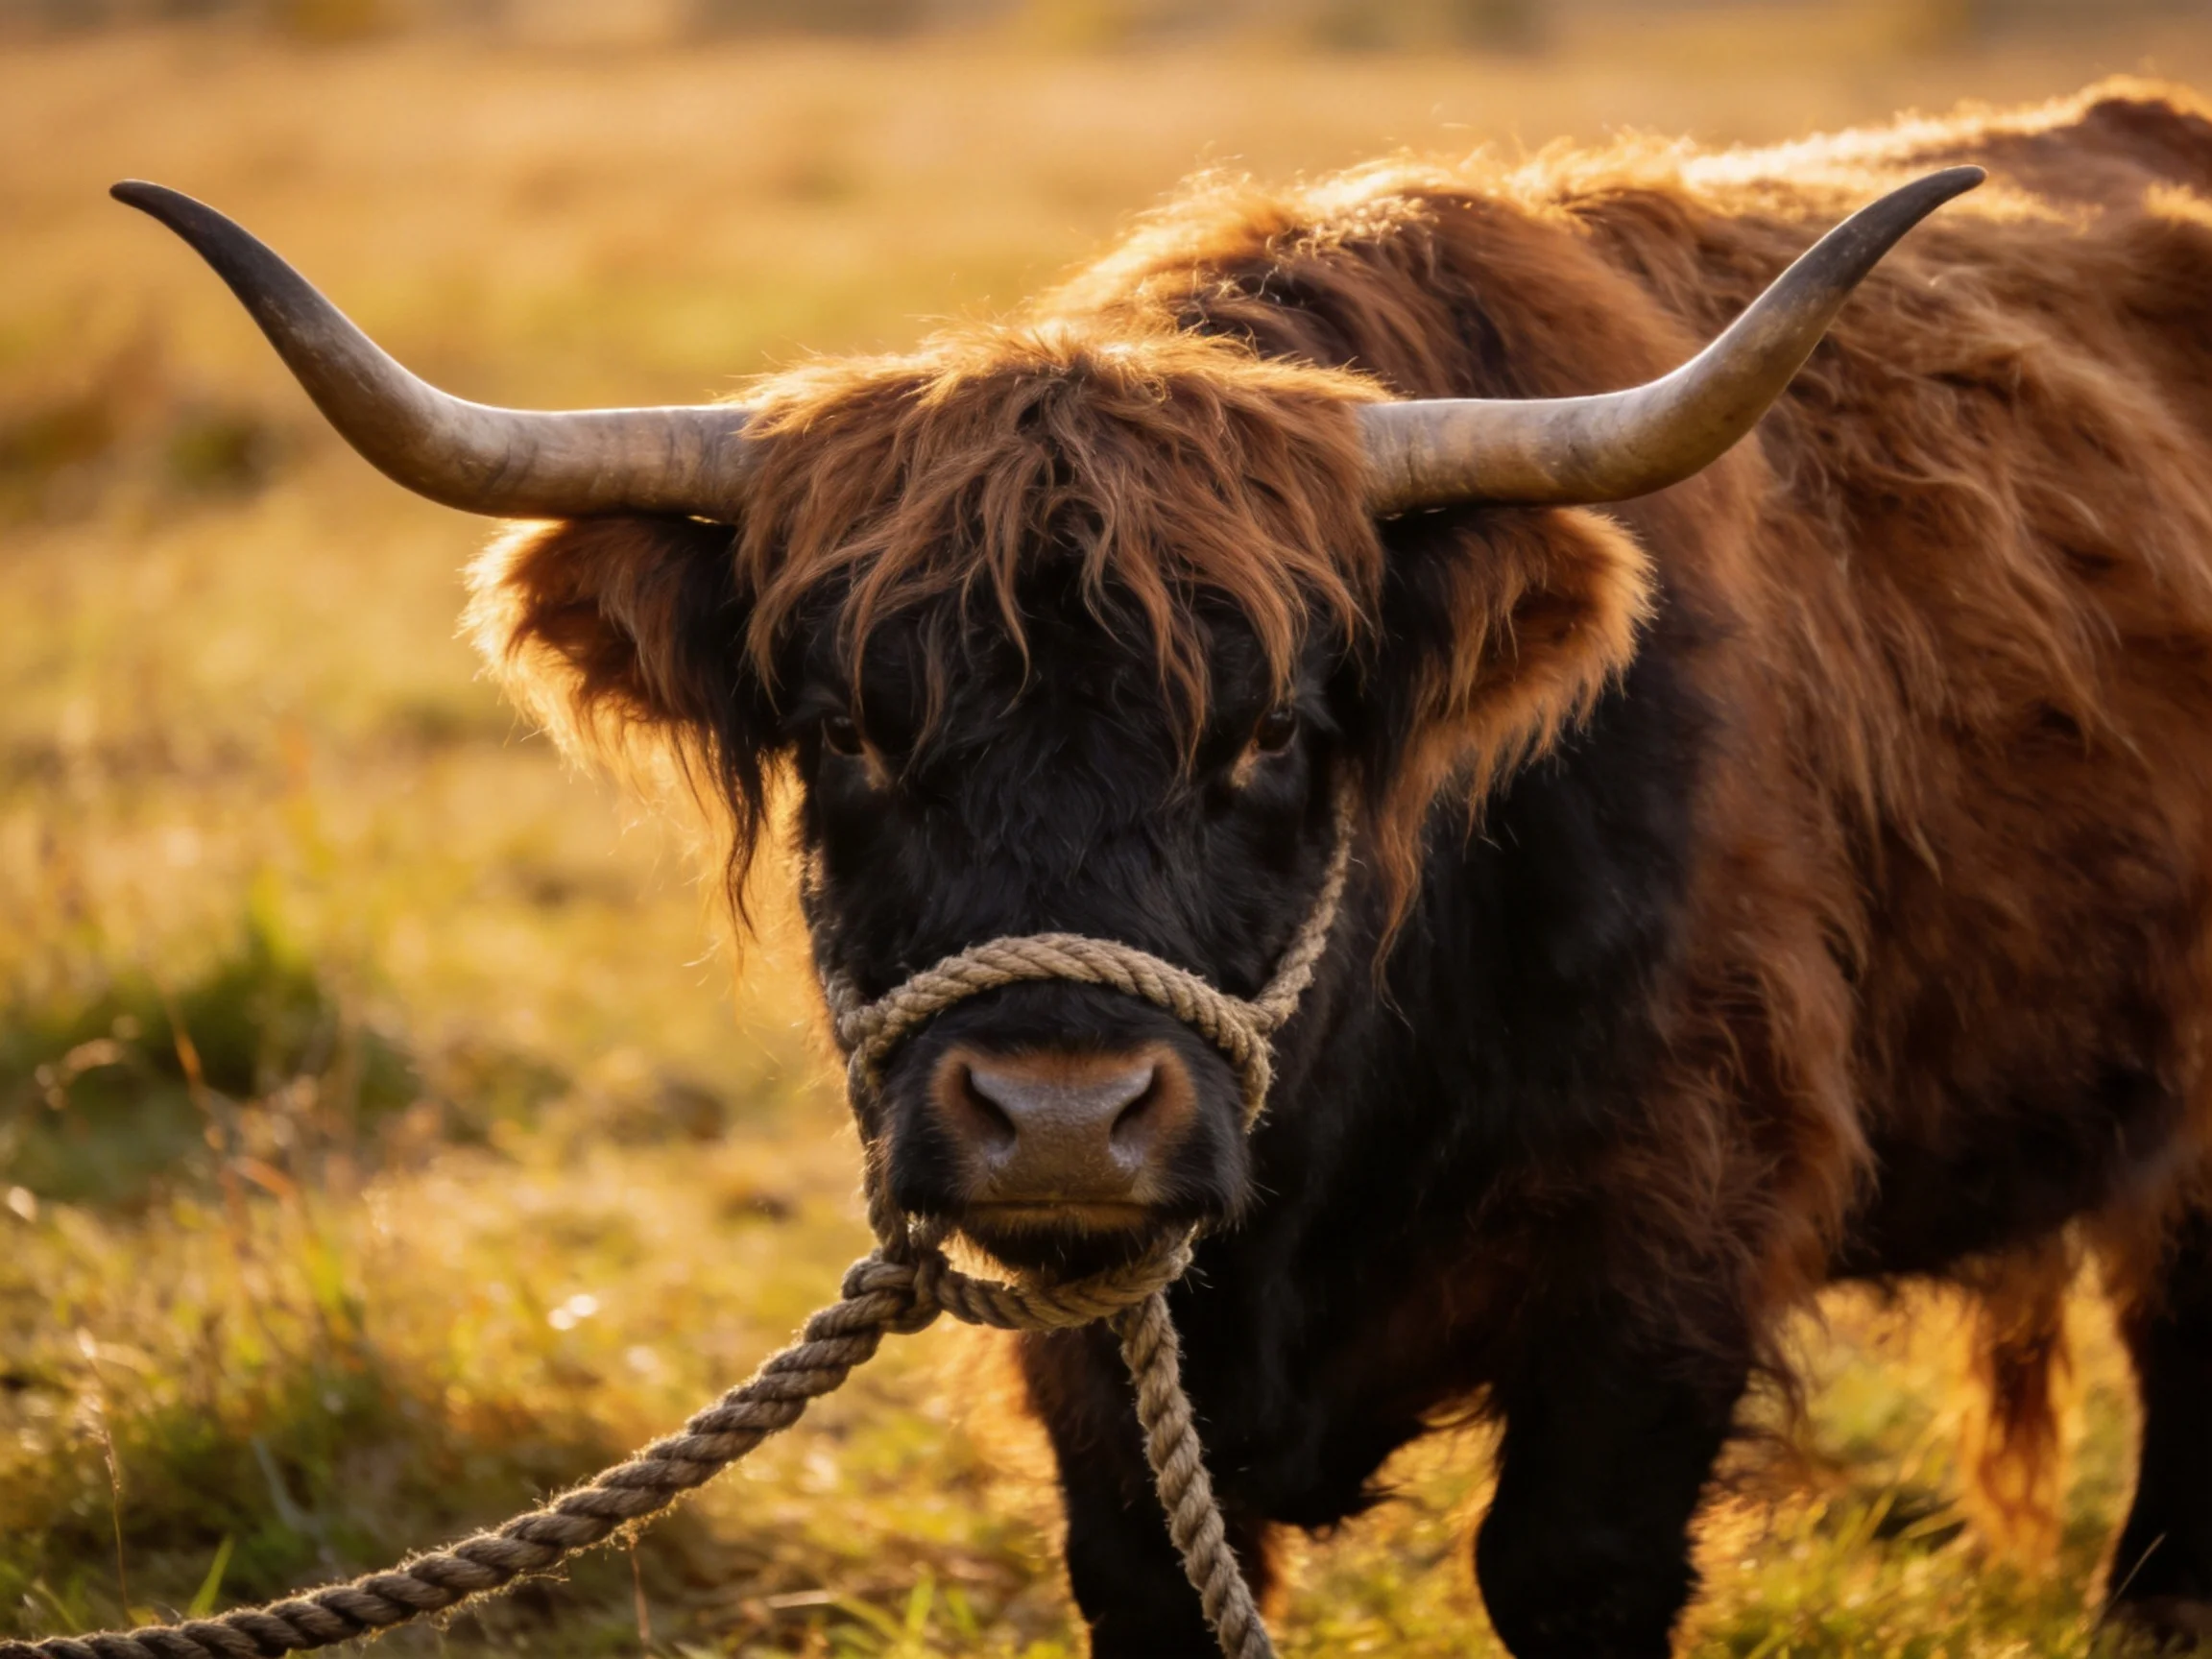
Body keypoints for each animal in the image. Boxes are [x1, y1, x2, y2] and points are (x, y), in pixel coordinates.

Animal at [114, 77, 2212, 1657]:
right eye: (850, 729)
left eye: (1272, 730)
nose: (1059, 1113)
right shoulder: (1102, 1380)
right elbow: (1141, 1566)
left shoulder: (1669, 1245)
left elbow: (1565, 1563)